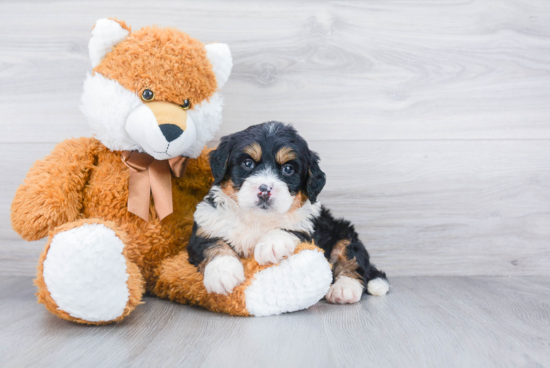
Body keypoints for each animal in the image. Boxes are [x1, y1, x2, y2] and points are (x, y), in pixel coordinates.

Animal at [190, 122, 392, 304]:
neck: (256, 219)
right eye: (248, 163)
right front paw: (223, 273)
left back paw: (344, 289)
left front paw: (270, 244)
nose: (265, 190)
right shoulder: (207, 224)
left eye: (288, 169)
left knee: (353, 260)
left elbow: (292, 229)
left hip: (344, 232)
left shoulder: (310, 226)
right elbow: (213, 244)